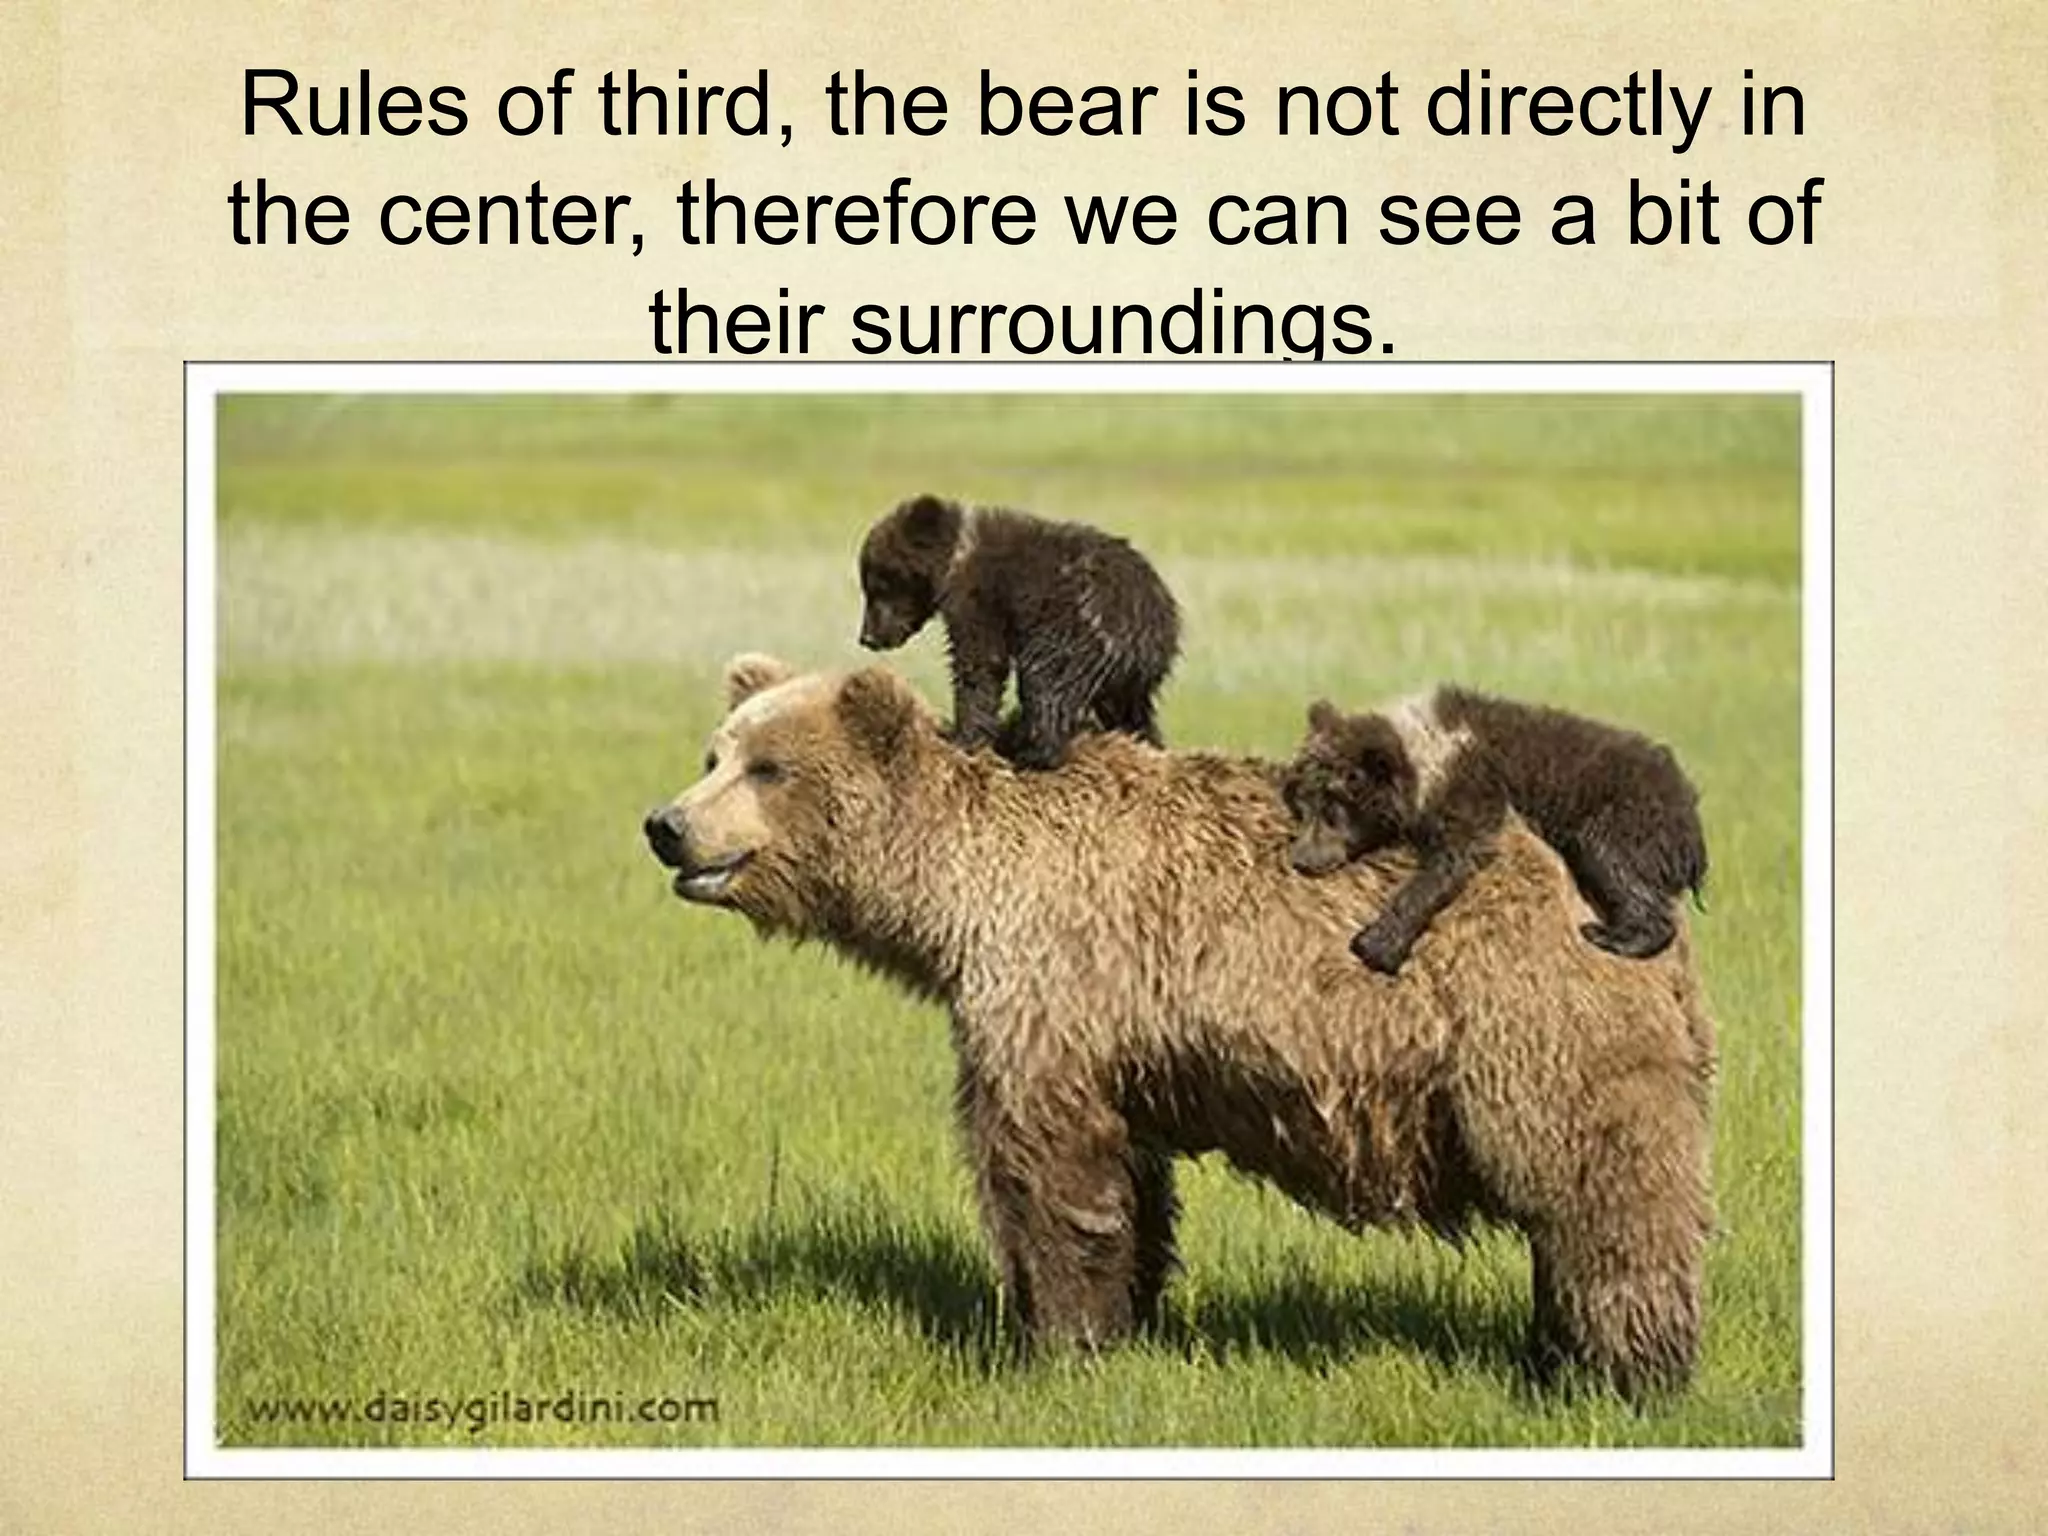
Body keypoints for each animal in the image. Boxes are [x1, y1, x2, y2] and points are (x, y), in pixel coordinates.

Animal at [856, 494, 1181, 769]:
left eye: (880, 585)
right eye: (870, 586)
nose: (867, 638)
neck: (953, 563)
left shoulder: (979, 602)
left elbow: (980, 665)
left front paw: (961, 737)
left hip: (1071, 631)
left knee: (1045, 686)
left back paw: (1030, 753)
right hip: (1130, 677)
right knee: (1132, 713)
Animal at [1281, 688, 1709, 976]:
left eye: (1334, 807)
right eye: (1303, 802)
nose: (1301, 860)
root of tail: (1689, 808)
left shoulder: (1471, 788)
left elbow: (1452, 861)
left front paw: (1376, 944)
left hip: (1625, 816)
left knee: (1618, 867)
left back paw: (1611, 935)